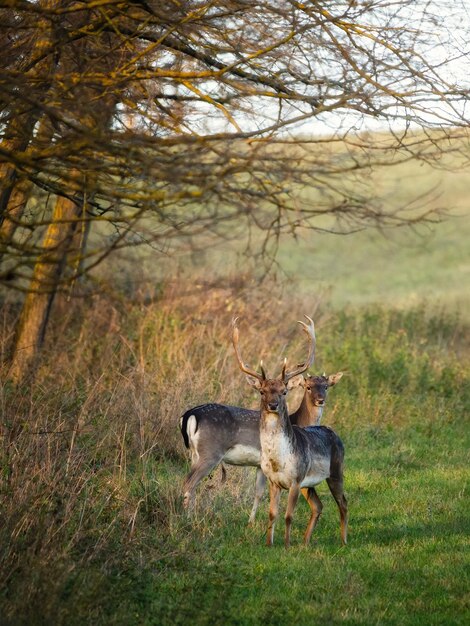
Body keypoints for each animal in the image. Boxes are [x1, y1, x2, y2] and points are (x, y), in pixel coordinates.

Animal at [232, 316, 346, 544]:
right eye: (262, 391)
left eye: (284, 391)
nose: (273, 405)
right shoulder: (273, 479)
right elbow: (272, 511)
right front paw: (270, 542)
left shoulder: (295, 480)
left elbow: (286, 515)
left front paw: (284, 545)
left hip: (334, 472)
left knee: (340, 503)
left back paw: (339, 541)